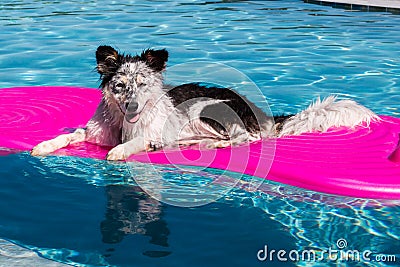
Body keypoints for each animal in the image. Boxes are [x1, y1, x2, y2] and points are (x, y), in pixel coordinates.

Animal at [30, 45, 378, 161]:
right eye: (120, 85)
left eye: (143, 84)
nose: (133, 108)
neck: (123, 123)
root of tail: (261, 114)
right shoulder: (93, 132)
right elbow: (67, 136)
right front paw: (44, 145)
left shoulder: (151, 135)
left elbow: (134, 143)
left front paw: (119, 151)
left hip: (210, 110)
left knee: (245, 139)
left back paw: (212, 145)